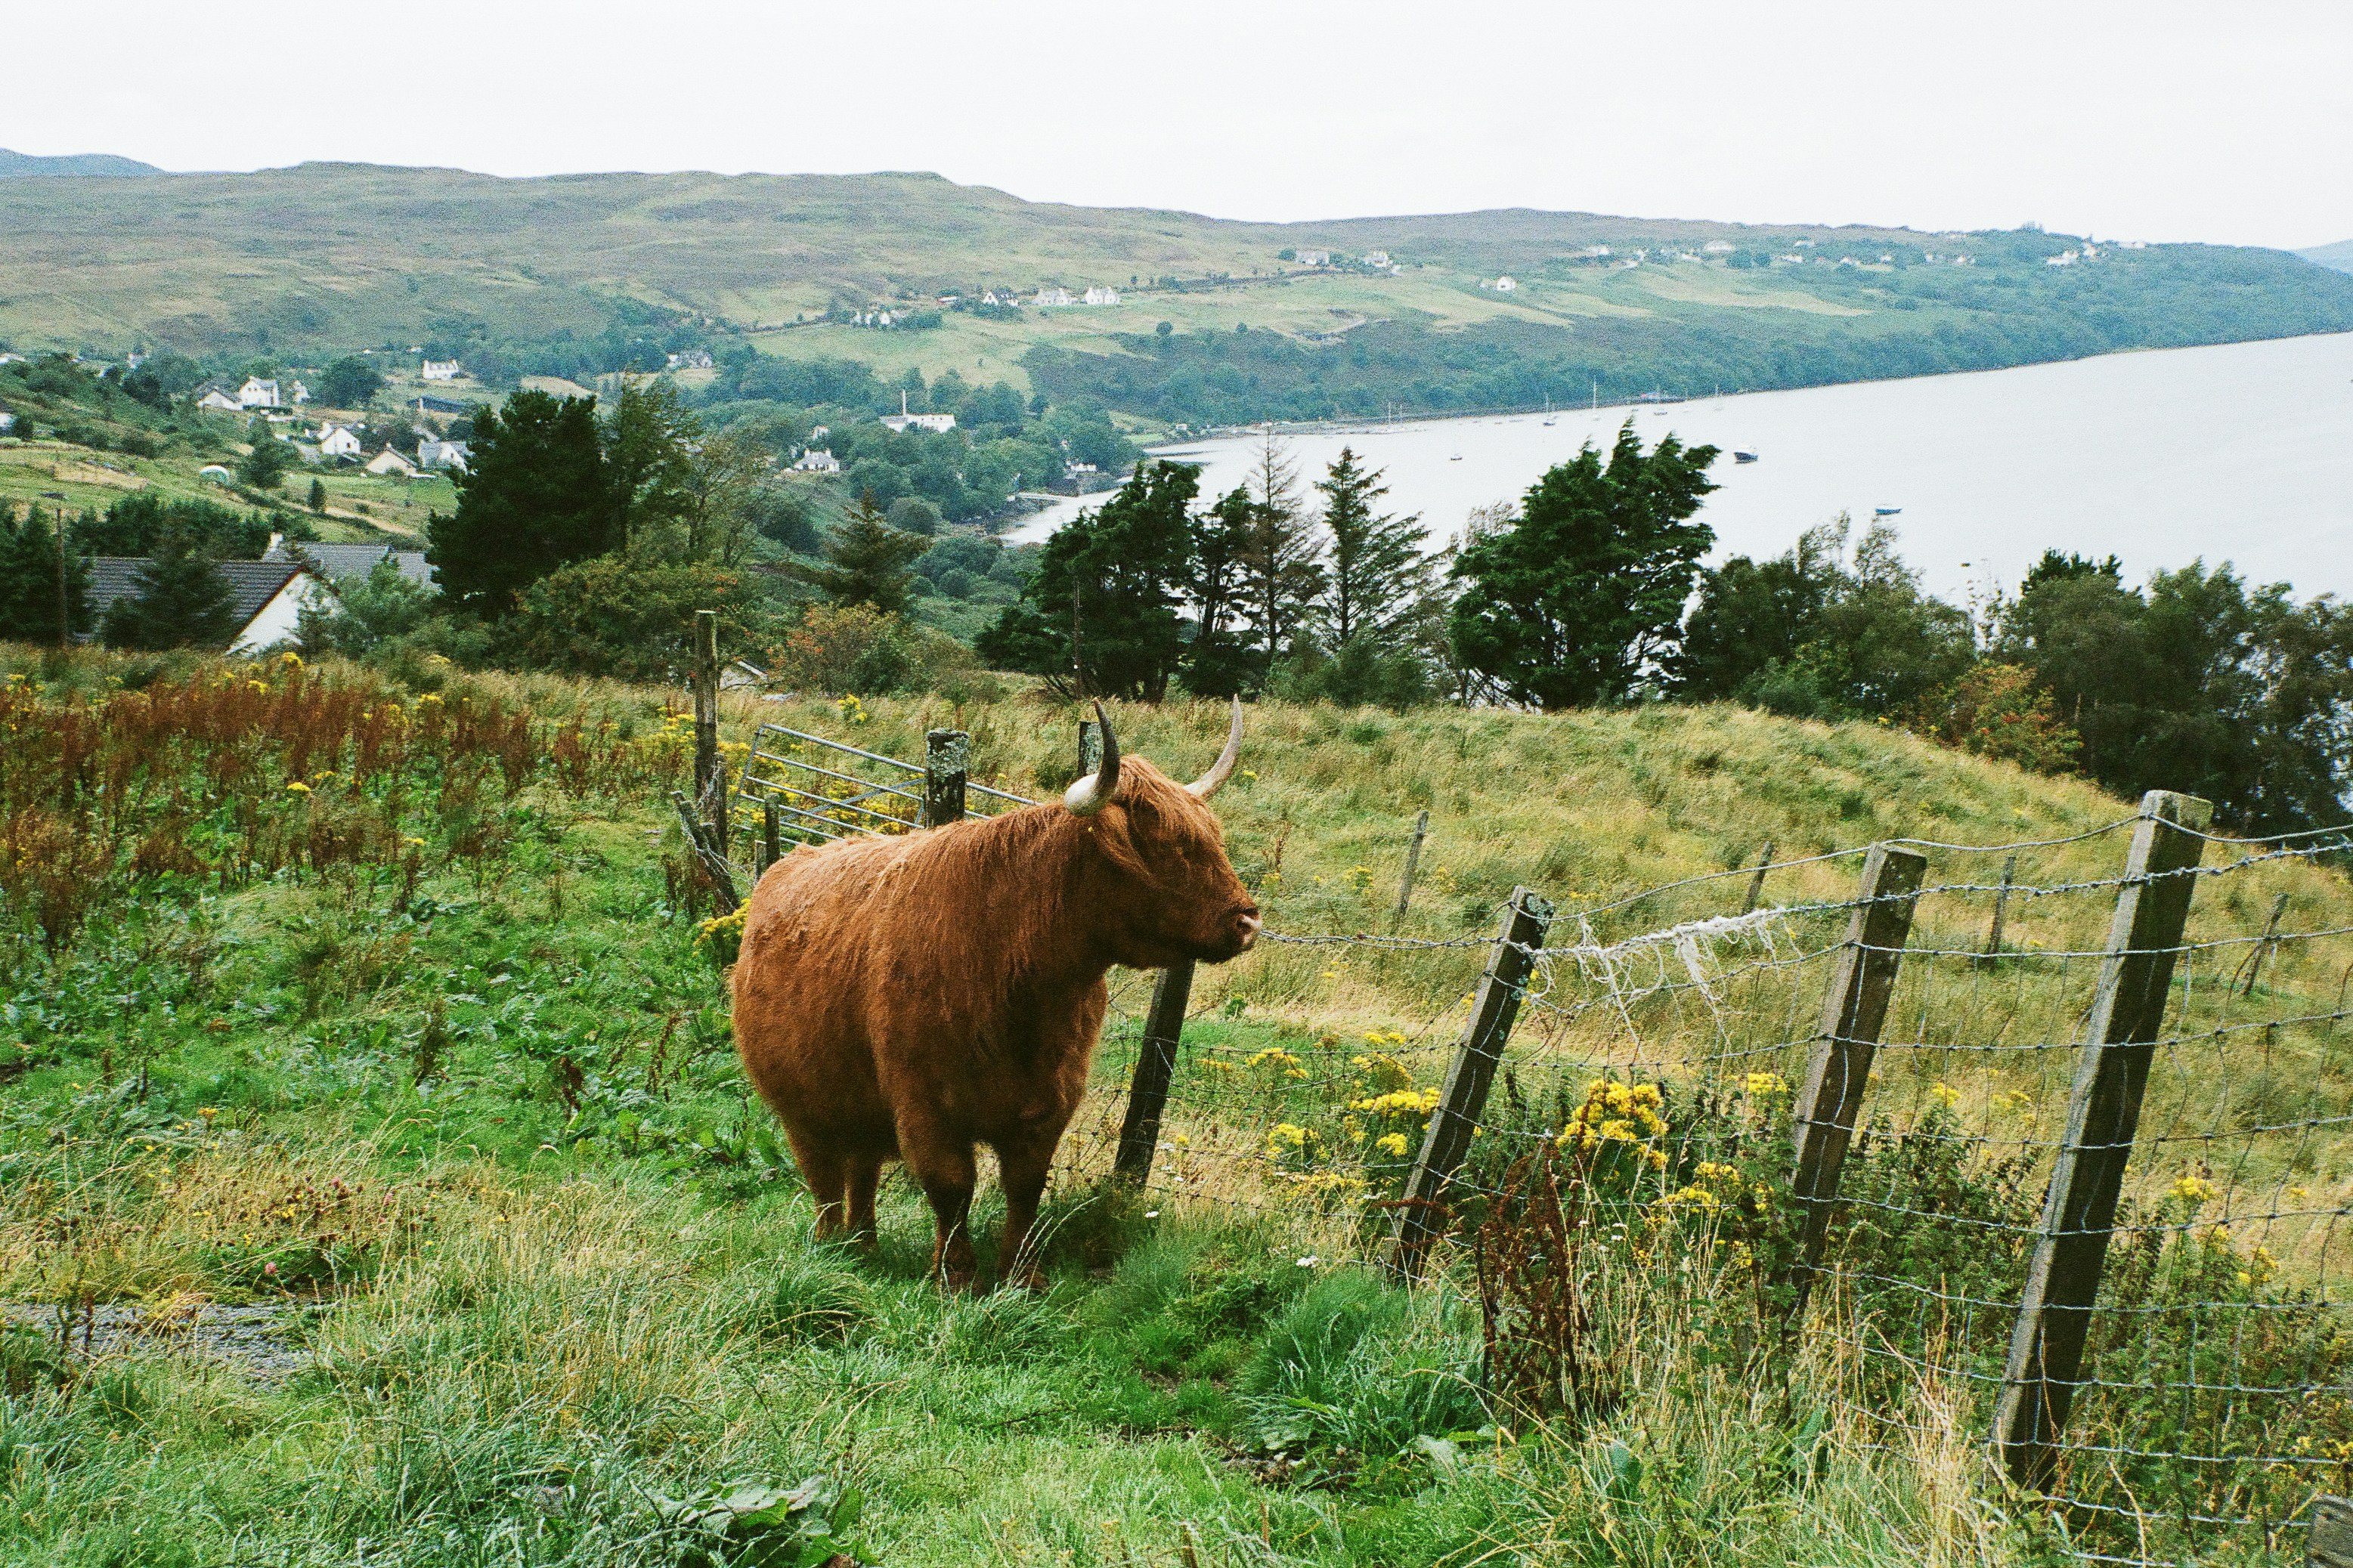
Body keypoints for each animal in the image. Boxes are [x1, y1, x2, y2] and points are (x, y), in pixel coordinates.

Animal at [731, 700, 1261, 1289]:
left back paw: (862, 1246)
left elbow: (1024, 1189)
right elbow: (951, 1187)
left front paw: (1022, 1276)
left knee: (862, 1172)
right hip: (801, 1105)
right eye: (1165, 843)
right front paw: (956, 1277)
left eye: (1213, 835)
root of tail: (788, 862)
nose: (1246, 921)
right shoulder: (924, 1106)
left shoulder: (1049, 1102)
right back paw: (832, 1248)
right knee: (824, 1179)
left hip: (858, 1103)